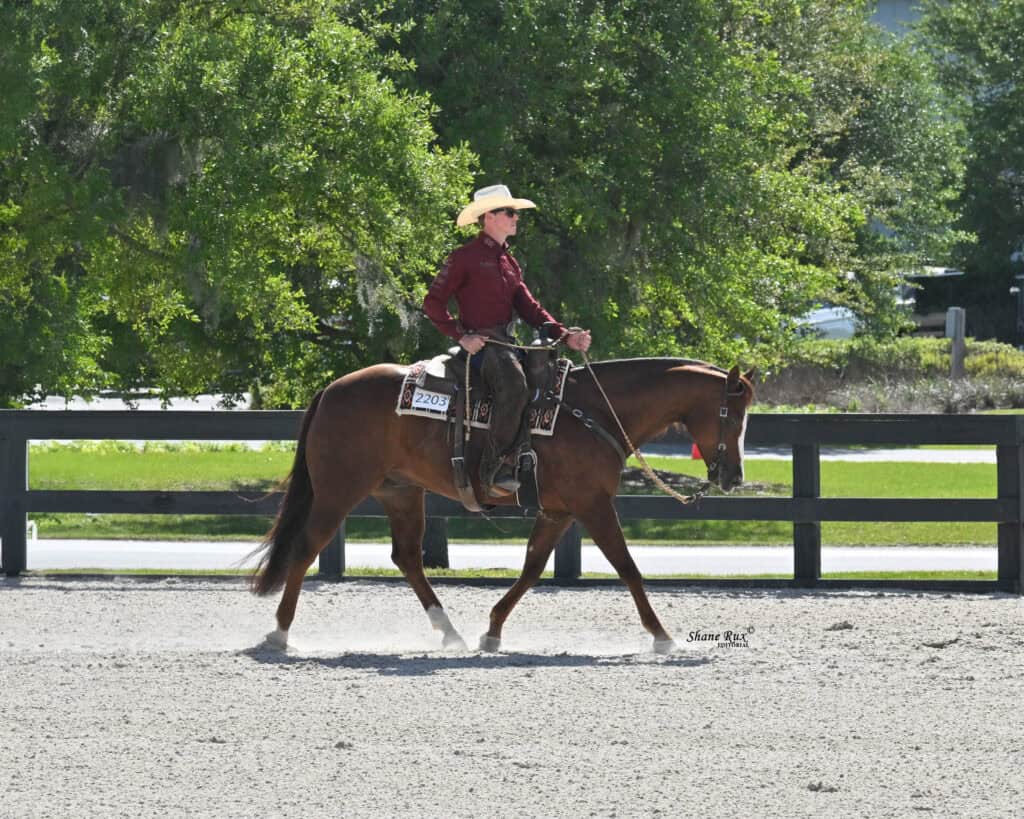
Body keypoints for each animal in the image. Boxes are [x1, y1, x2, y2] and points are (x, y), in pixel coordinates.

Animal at [250, 356, 755, 654]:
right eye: (734, 416)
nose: (733, 477)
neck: (594, 411)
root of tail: (331, 389)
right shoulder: (593, 505)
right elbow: (627, 567)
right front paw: (662, 636)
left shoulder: (559, 511)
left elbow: (531, 568)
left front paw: (492, 630)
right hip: (339, 489)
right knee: (306, 548)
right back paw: (279, 632)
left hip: (401, 492)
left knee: (407, 558)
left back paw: (450, 632)